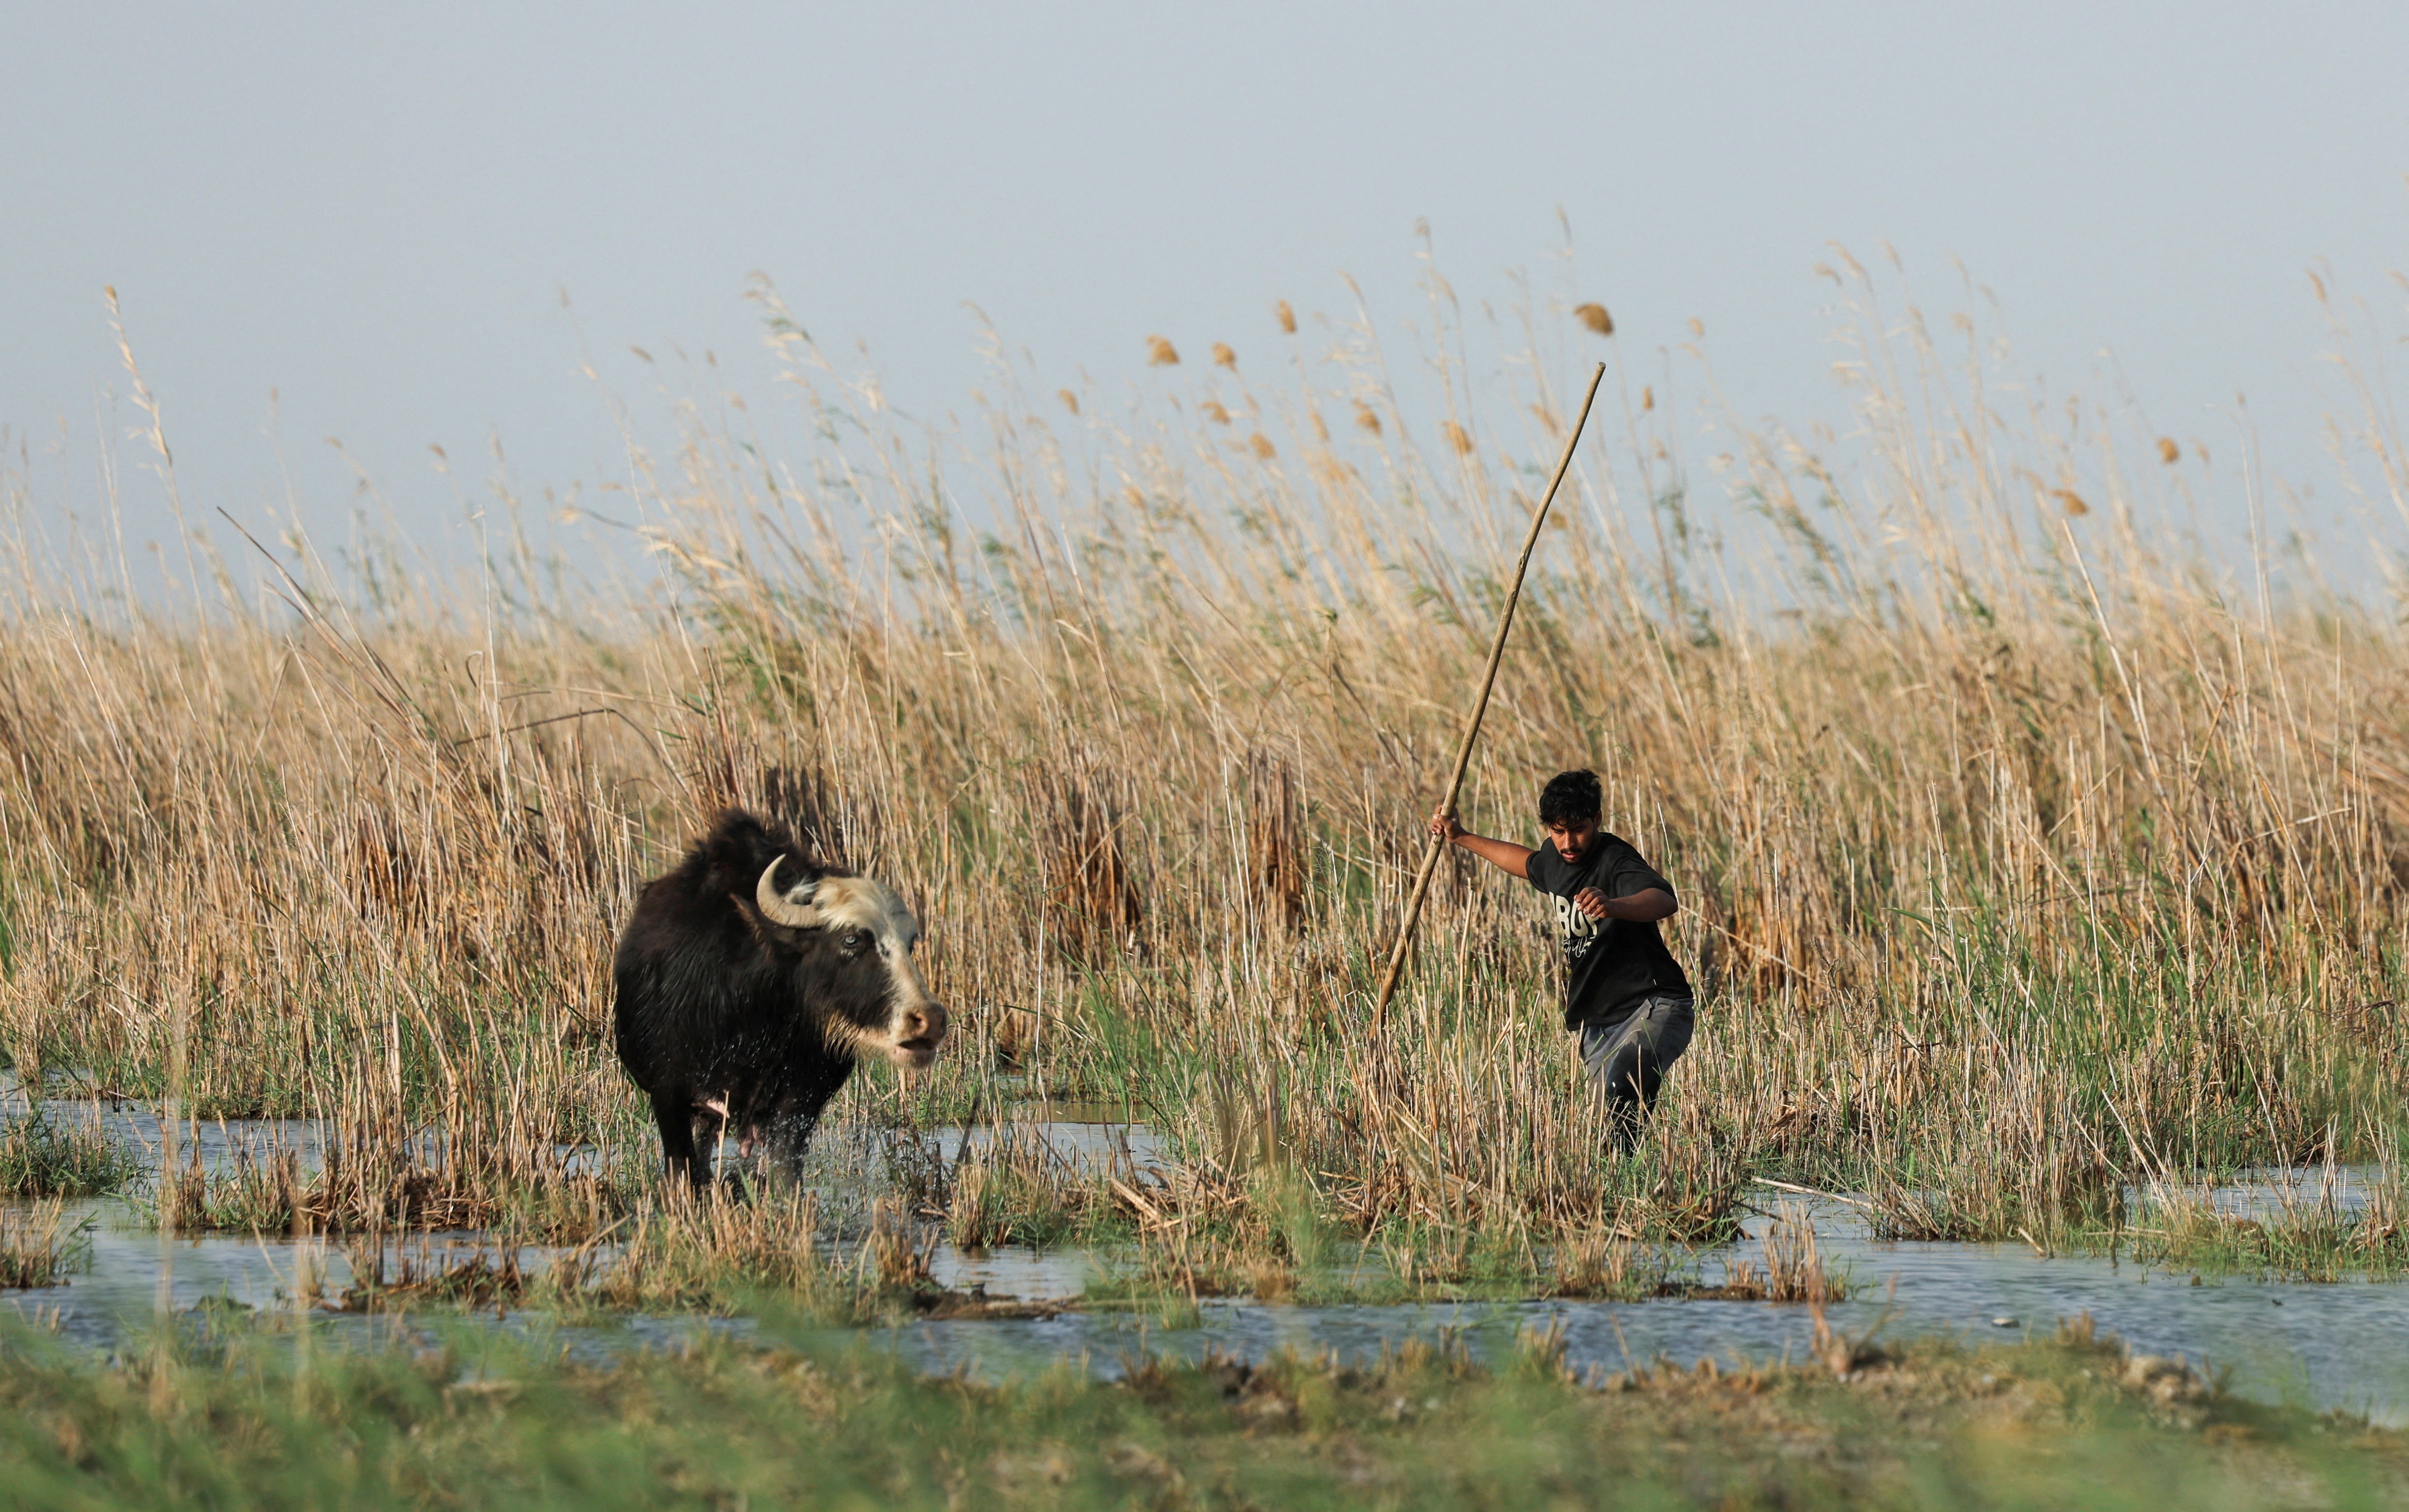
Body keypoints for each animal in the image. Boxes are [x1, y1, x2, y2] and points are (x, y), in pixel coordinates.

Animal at [612, 809, 947, 1187]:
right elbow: (681, 1172)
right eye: (850, 940)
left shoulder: (801, 1097)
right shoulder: (669, 1093)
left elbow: (786, 1172)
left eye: (911, 942)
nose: (930, 1019)